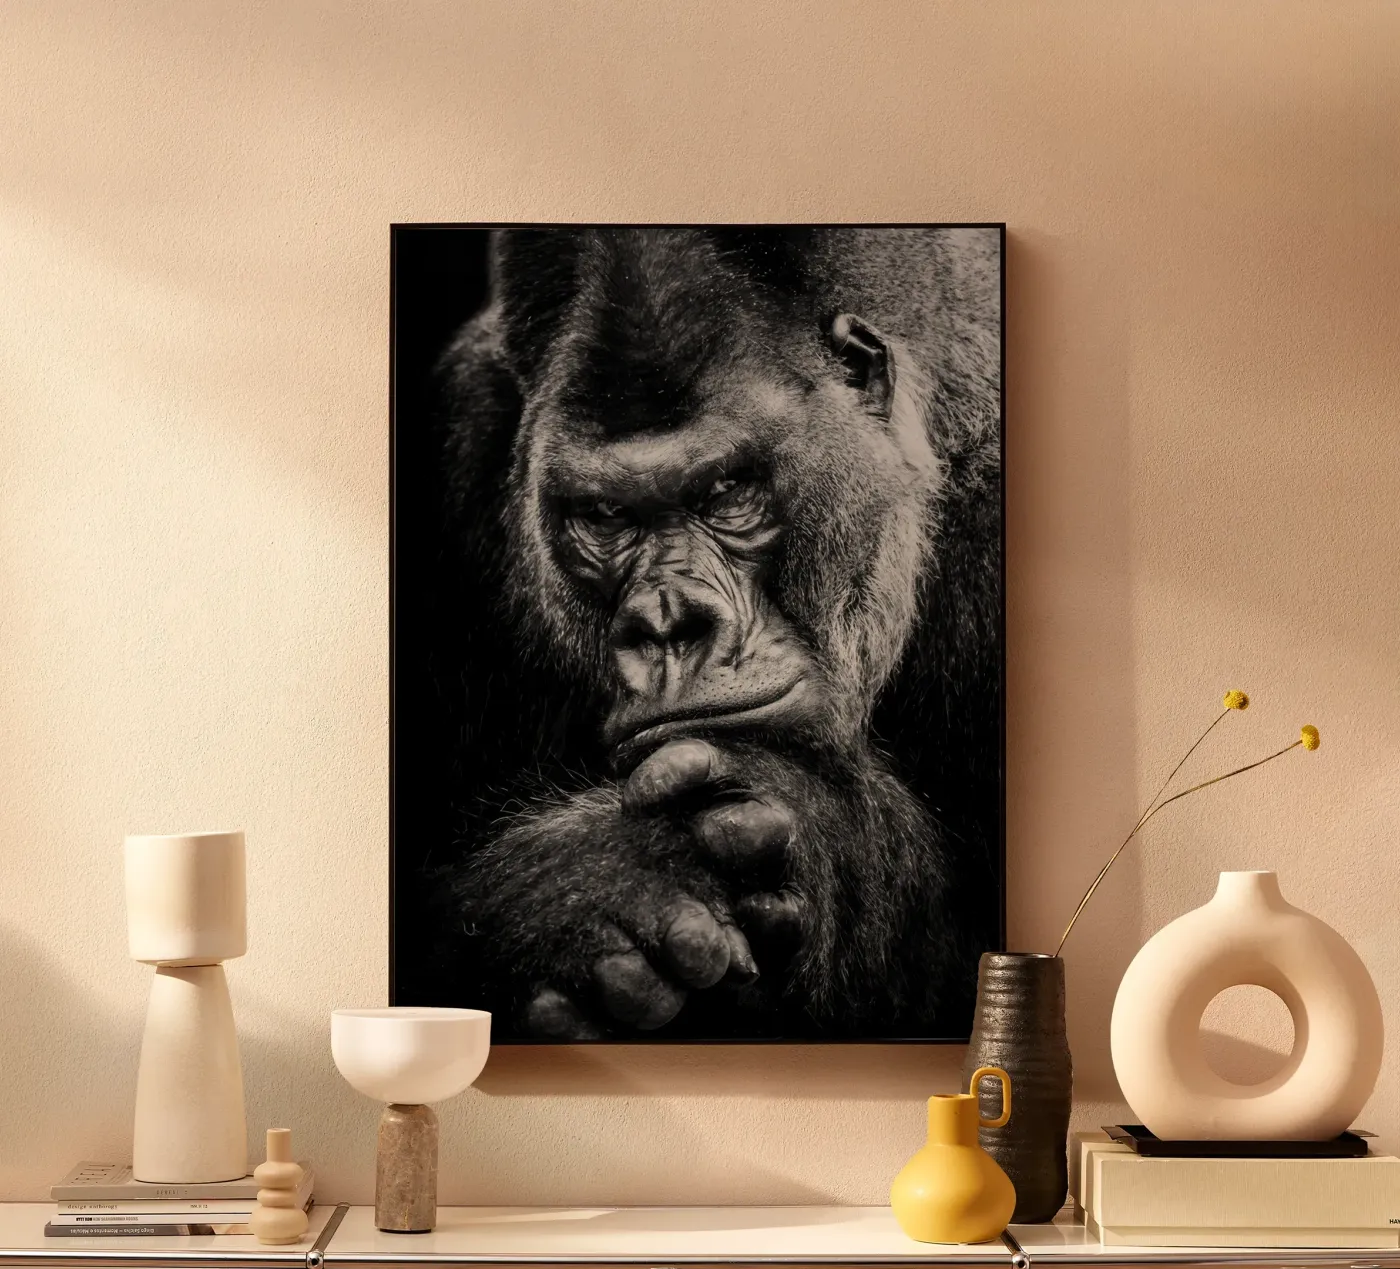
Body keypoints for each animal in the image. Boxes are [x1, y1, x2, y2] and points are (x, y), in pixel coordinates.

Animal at [407, 225, 1002, 1040]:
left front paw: (813, 829)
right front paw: (583, 891)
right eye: (605, 514)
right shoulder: (460, 437)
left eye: (726, 491)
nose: (668, 624)